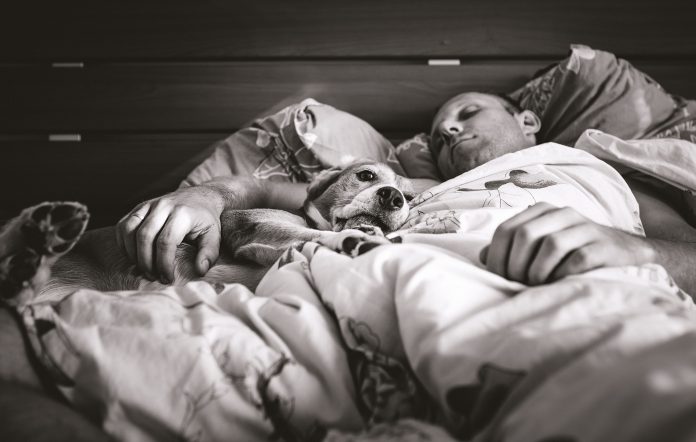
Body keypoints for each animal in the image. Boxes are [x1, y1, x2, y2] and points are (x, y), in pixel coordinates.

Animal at [0, 161, 414, 306]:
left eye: (409, 197)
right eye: (365, 175)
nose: (393, 198)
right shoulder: (247, 226)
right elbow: (307, 237)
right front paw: (352, 239)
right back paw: (43, 231)